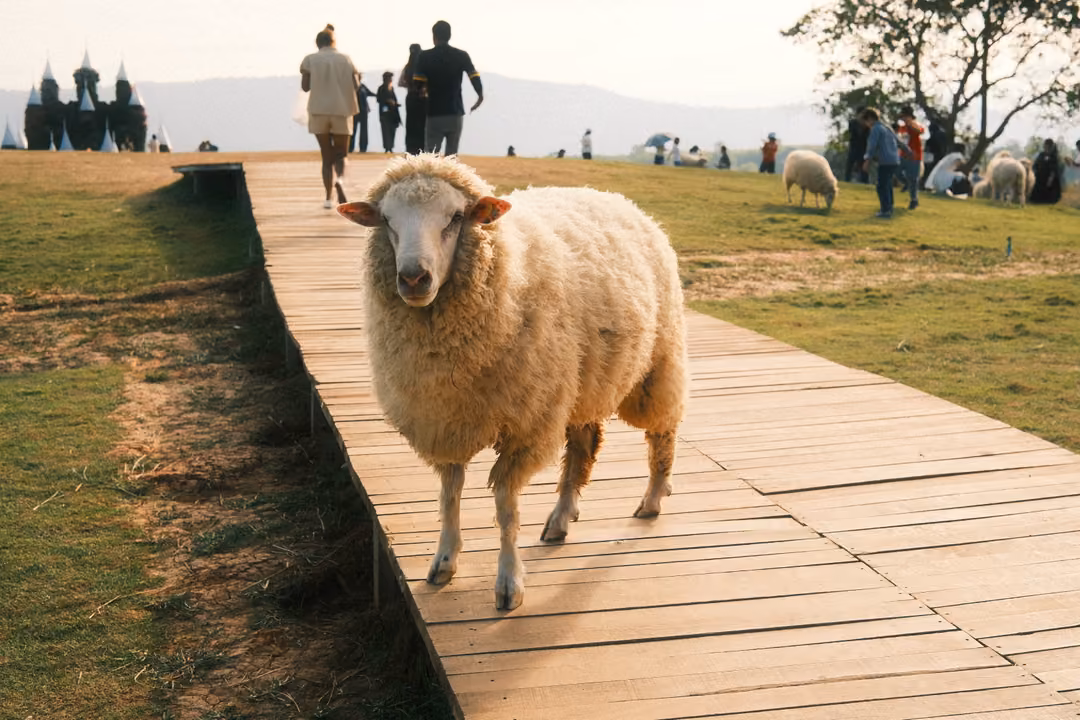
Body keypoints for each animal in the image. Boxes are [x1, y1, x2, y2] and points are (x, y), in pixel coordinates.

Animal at [337, 154, 688, 610]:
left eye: (456, 218)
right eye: (387, 220)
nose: (414, 279)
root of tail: (613, 196)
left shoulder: (526, 423)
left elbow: (506, 504)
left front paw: (509, 583)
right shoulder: (445, 418)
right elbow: (449, 493)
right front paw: (444, 561)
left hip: (655, 364)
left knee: (663, 430)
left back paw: (652, 498)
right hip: (582, 379)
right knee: (584, 445)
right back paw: (561, 518)